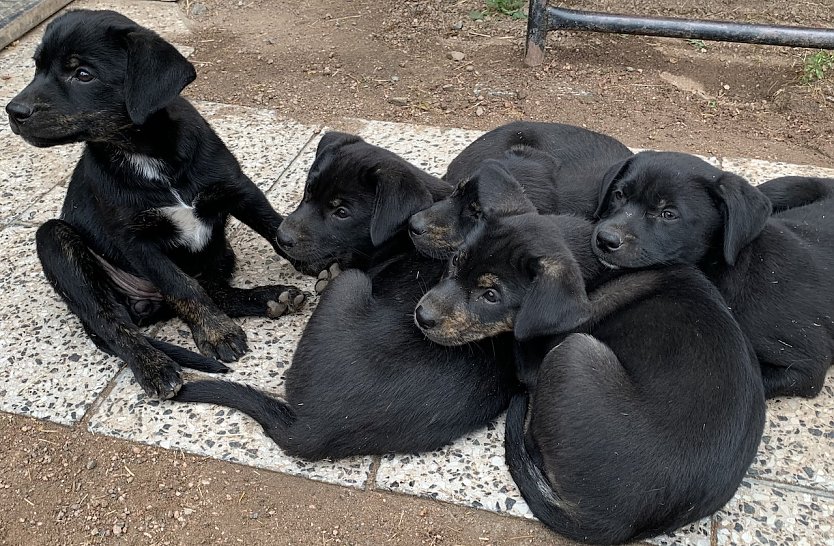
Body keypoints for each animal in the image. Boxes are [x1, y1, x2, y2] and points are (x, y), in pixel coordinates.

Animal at [4, 10, 304, 398]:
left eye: (83, 74)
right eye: (37, 67)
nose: (13, 111)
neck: (146, 153)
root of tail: (147, 306)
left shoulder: (238, 189)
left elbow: (275, 225)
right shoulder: (136, 242)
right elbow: (181, 286)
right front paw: (216, 332)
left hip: (220, 251)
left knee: (215, 289)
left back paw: (271, 298)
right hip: (55, 240)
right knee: (112, 322)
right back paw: (154, 365)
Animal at [592, 151, 832, 398]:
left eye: (668, 214)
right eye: (619, 194)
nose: (605, 239)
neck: (728, 268)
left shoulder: (805, 366)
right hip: (781, 187)